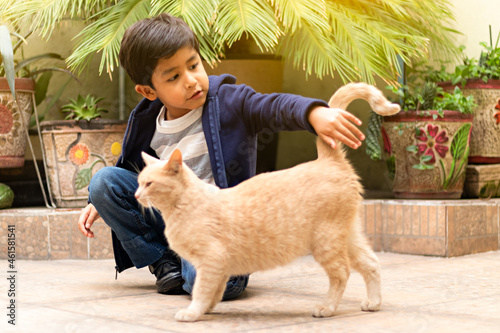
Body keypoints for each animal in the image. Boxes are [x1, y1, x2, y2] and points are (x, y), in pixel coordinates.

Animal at [135, 81, 400, 320]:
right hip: (347, 236)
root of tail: (327, 160)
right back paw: (374, 302)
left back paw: (327, 307)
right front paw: (207, 309)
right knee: (371, 263)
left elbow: (201, 290)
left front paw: (193, 312)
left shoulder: (210, 261)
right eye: (139, 182)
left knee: (342, 273)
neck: (181, 207)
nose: (136, 195)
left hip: (327, 242)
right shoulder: (220, 267)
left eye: (149, 184)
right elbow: (214, 291)